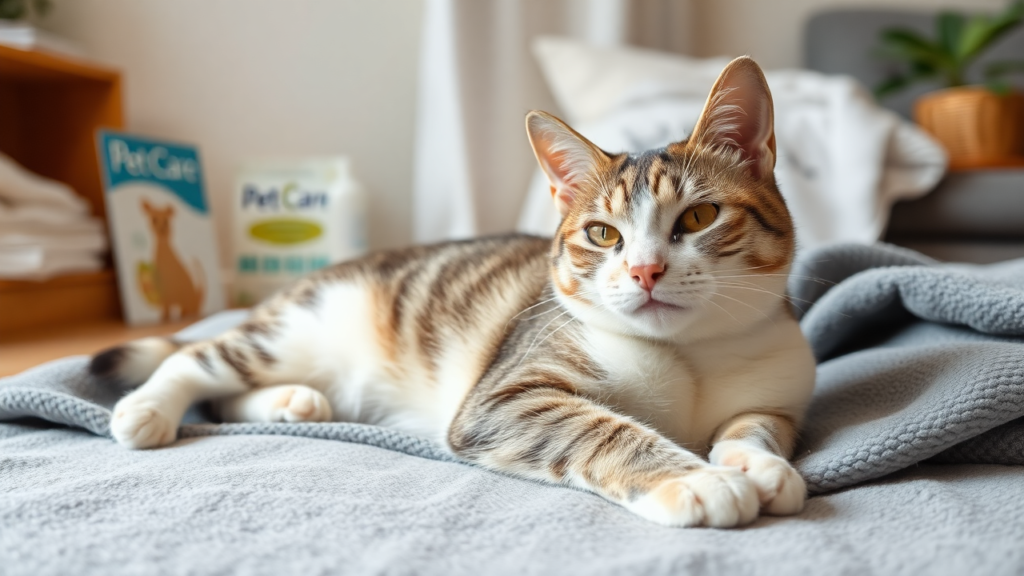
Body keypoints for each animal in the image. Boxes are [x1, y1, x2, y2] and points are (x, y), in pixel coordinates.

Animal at [94, 57, 815, 524]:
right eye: (603, 234)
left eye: (698, 217)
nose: (644, 271)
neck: (687, 353)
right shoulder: (504, 397)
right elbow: (604, 429)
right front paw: (699, 480)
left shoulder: (778, 387)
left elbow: (756, 426)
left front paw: (756, 465)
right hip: (297, 329)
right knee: (199, 359)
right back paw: (148, 409)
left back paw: (292, 403)